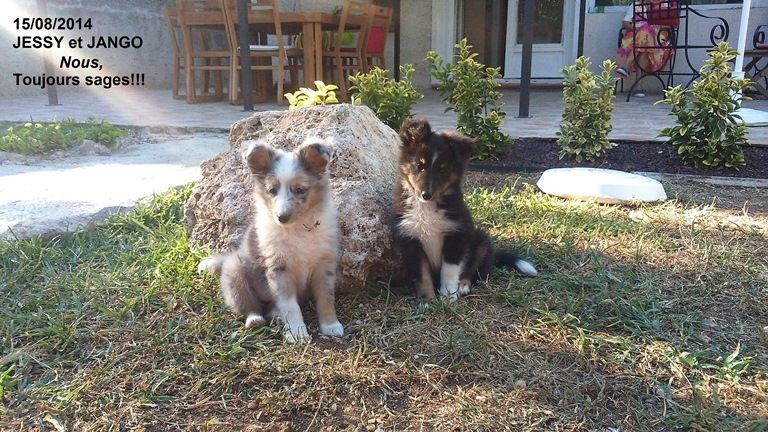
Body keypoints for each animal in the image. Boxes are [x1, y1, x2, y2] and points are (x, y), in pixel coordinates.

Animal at [198, 138, 342, 344]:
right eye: (272, 190)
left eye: (300, 189)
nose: (281, 217)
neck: (297, 228)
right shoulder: (278, 267)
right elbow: (290, 305)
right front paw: (297, 333)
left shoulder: (325, 265)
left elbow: (326, 298)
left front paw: (331, 325)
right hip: (235, 274)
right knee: (250, 305)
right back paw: (255, 319)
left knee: (272, 307)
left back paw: (275, 314)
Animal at [392, 118, 536, 300]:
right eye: (419, 165)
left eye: (443, 169)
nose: (426, 194)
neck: (427, 207)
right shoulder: (411, 240)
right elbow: (422, 274)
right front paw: (427, 300)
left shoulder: (457, 235)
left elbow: (450, 269)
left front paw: (448, 295)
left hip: (480, 242)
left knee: (474, 271)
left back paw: (463, 286)